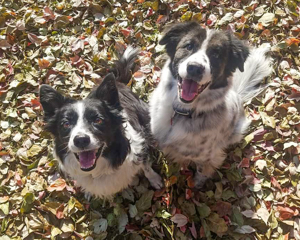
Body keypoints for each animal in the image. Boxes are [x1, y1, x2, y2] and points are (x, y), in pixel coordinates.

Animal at [40, 47, 162, 199]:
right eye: (66, 124)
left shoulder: (142, 149)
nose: (81, 140)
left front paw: (155, 180)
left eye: (98, 120)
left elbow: (147, 168)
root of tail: (117, 82)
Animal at [149, 22, 272, 188]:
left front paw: (198, 183)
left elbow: (203, 170)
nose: (195, 68)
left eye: (216, 54)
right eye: (188, 46)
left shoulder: (207, 156)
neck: (182, 113)